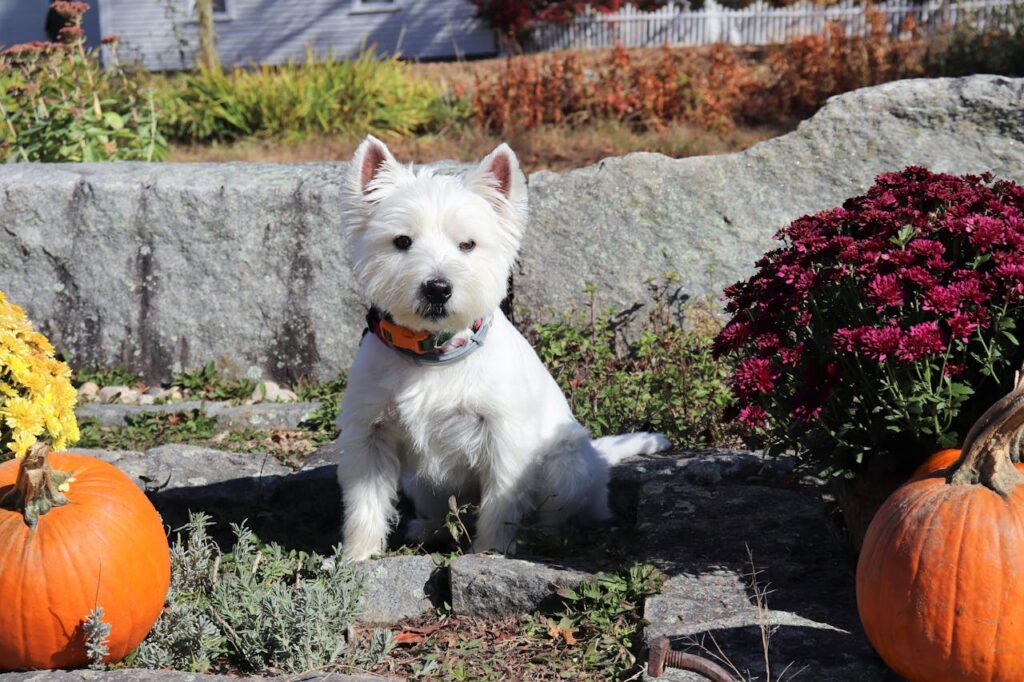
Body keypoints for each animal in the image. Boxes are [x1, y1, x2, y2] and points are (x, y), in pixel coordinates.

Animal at [335, 135, 671, 561]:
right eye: (402, 242)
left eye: (467, 244)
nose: (438, 287)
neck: (433, 356)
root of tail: (598, 457)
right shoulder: (370, 434)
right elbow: (365, 501)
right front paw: (357, 557)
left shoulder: (502, 436)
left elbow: (502, 500)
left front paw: (491, 550)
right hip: (419, 482)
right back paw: (426, 528)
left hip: (565, 467)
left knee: (561, 513)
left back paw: (548, 536)